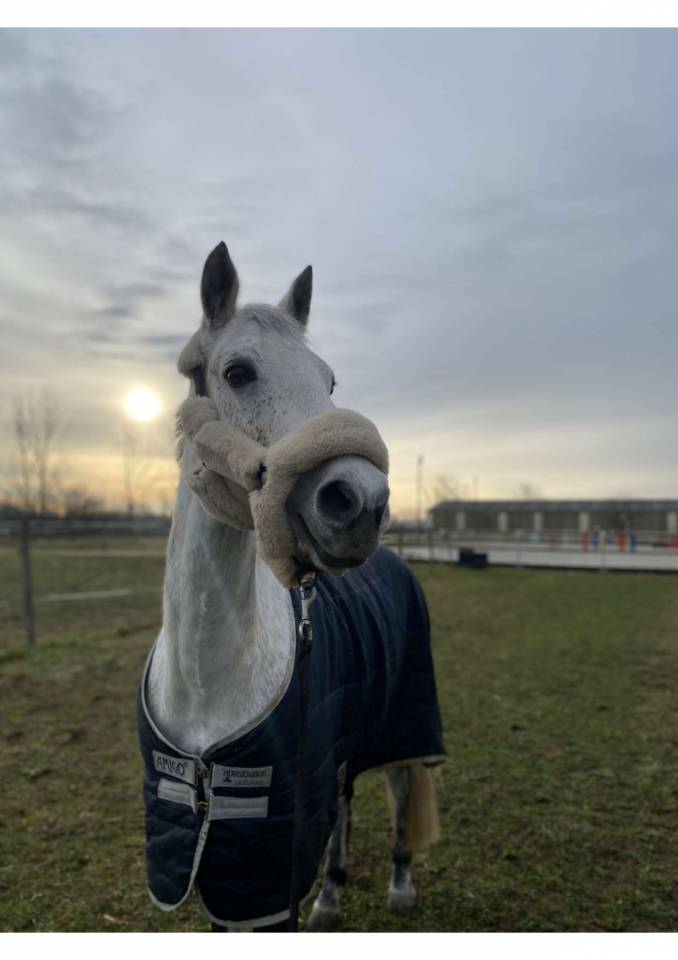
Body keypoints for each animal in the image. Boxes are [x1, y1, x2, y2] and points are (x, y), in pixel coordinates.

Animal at [137, 242, 445, 931]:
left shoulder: (267, 869)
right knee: (347, 802)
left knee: (398, 789)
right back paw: (330, 895)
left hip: (402, 725)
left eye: (329, 381)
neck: (207, 684)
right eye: (238, 372)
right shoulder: (224, 857)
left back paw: (401, 885)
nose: (362, 500)